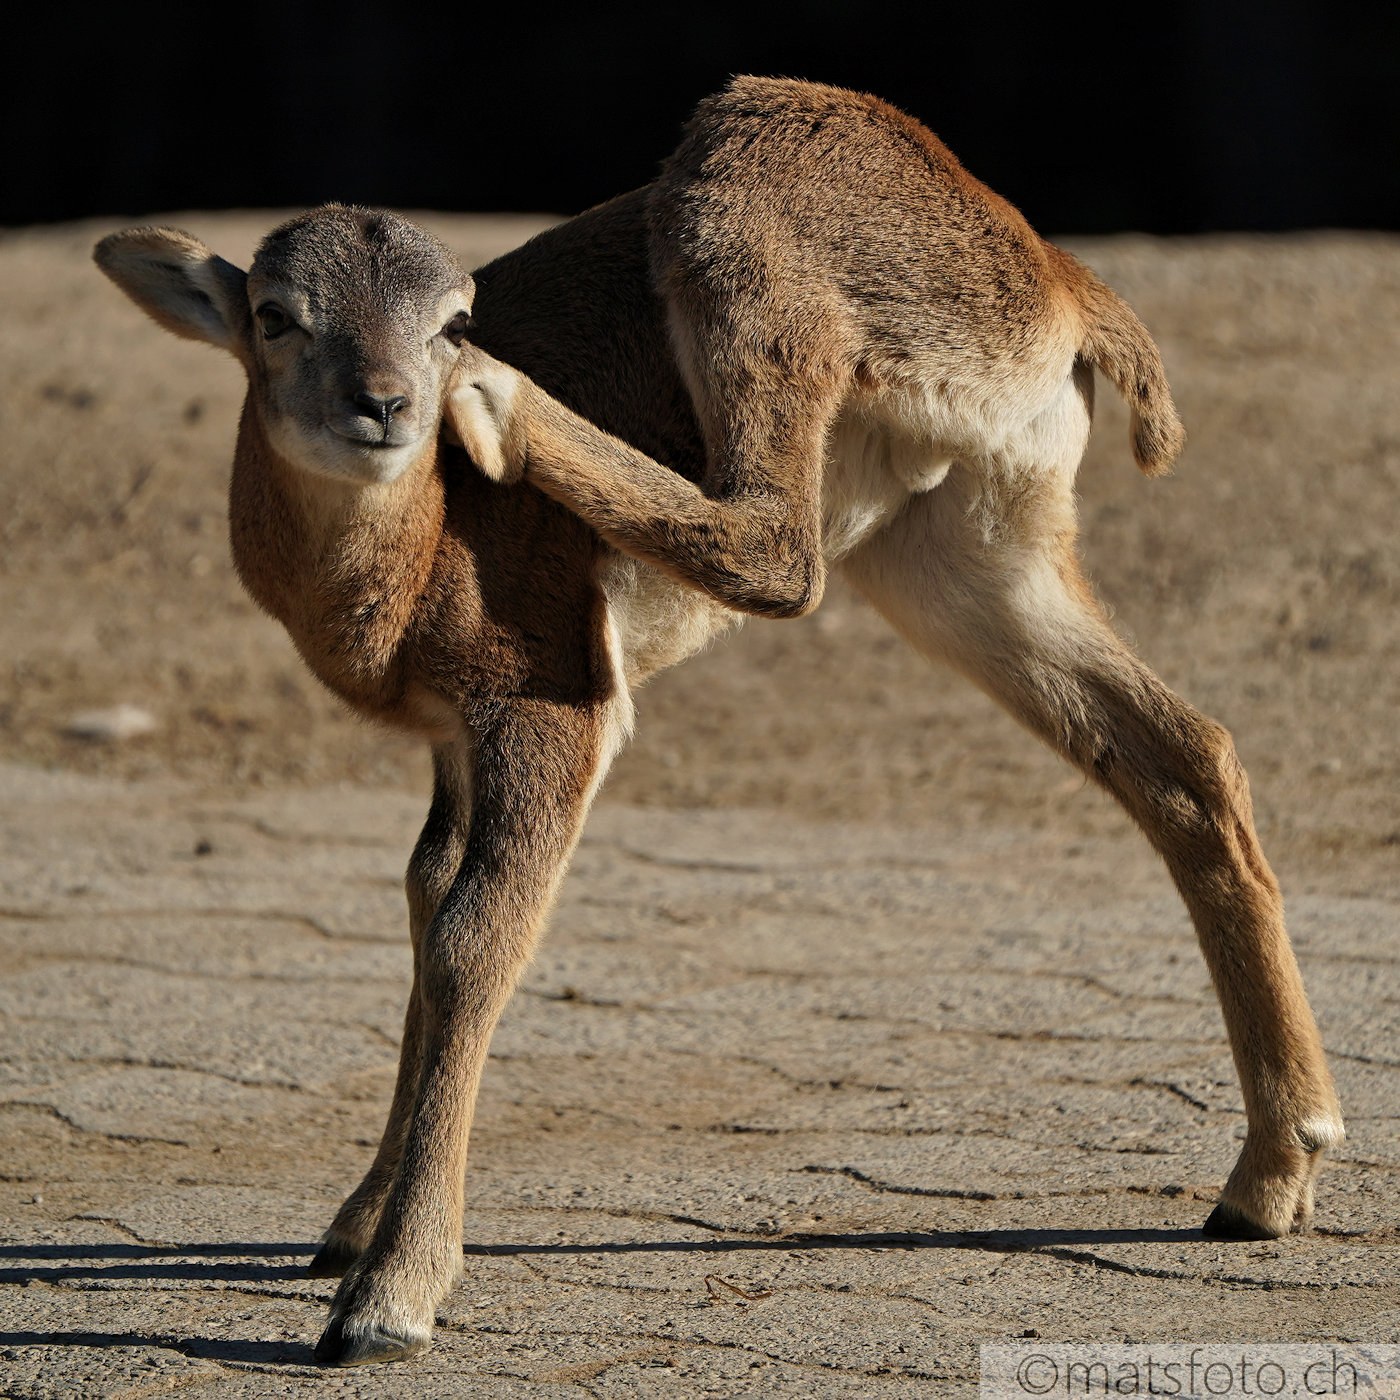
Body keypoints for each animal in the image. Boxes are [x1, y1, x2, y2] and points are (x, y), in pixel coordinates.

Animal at [94, 76, 1342, 1366]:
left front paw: (385, 1297)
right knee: (1183, 756)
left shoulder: (549, 699)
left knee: (778, 548)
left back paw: (504, 412)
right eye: (278, 315)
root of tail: (1054, 277)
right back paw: (1265, 1176)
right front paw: (346, 1227)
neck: (418, 553)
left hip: (746, 213)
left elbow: (471, 941)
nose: (386, 403)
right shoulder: (448, 742)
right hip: (968, 552)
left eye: (450, 317)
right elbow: (422, 901)